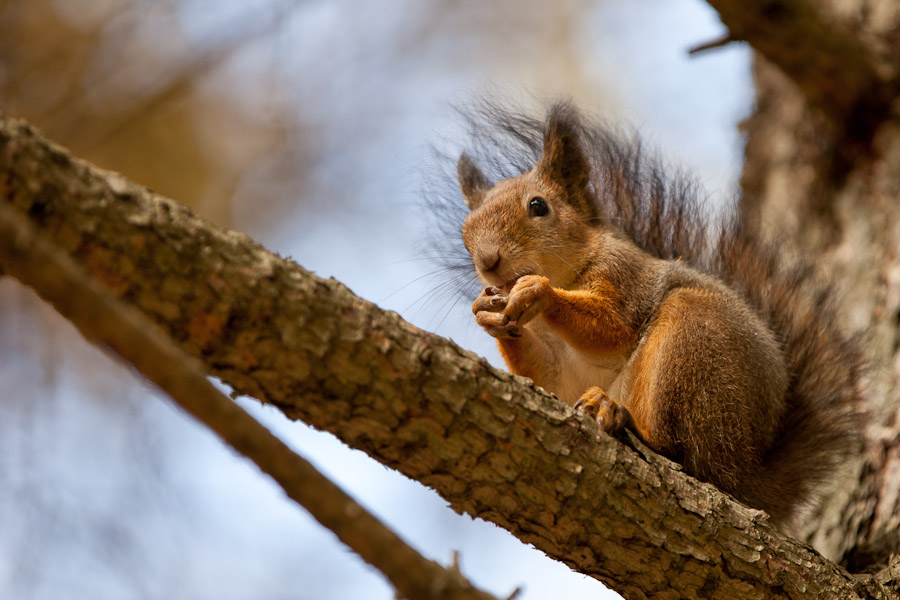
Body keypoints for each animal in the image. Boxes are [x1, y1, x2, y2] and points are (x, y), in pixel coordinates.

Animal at [450, 101, 864, 528]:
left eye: (538, 207)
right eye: (465, 232)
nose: (488, 262)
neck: (570, 272)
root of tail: (748, 472)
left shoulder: (627, 277)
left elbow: (611, 327)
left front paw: (539, 292)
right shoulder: (557, 371)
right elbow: (548, 377)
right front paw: (486, 314)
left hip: (695, 346)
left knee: (684, 454)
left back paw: (628, 422)